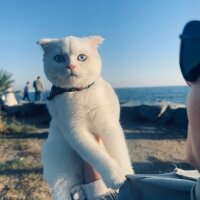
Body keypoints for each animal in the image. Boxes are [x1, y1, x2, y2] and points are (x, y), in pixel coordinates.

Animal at [38, 36, 134, 200]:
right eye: (59, 58)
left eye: (82, 57)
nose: (70, 65)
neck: (79, 92)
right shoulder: (74, 131)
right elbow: (98, 155)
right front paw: (115, 177)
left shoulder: (108, 125)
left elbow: (119, 152)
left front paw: (127, 175)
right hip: (60, 171)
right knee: (65, 190)